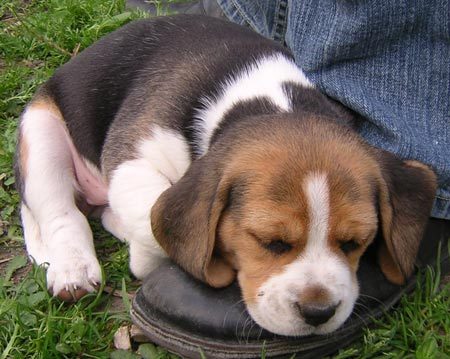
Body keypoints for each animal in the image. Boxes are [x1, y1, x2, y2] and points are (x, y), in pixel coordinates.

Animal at [15, 15, 438, 338]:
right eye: (270, 242)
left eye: (354, 243)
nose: (318, 313)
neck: (269, 102)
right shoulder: (131, 159)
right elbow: (151, 218)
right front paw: (147, 258)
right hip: (41, 131)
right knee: (60, 213)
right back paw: (73, 268)